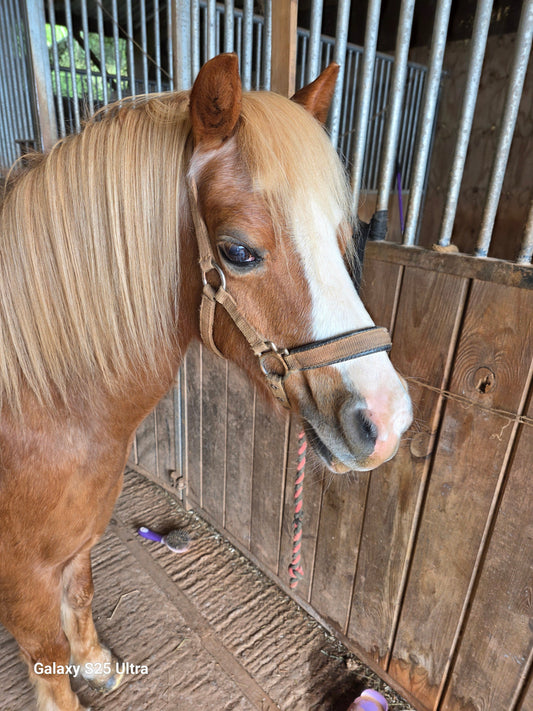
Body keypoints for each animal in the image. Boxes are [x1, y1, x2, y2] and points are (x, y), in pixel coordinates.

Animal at [0, 53, 412, 711]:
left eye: (343, 238)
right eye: (238, 252)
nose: (386, 418)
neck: (42, 404)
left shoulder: (80, 536)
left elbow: (82, 593)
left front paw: (96, 665)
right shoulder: (21, 577)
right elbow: (45, 657)